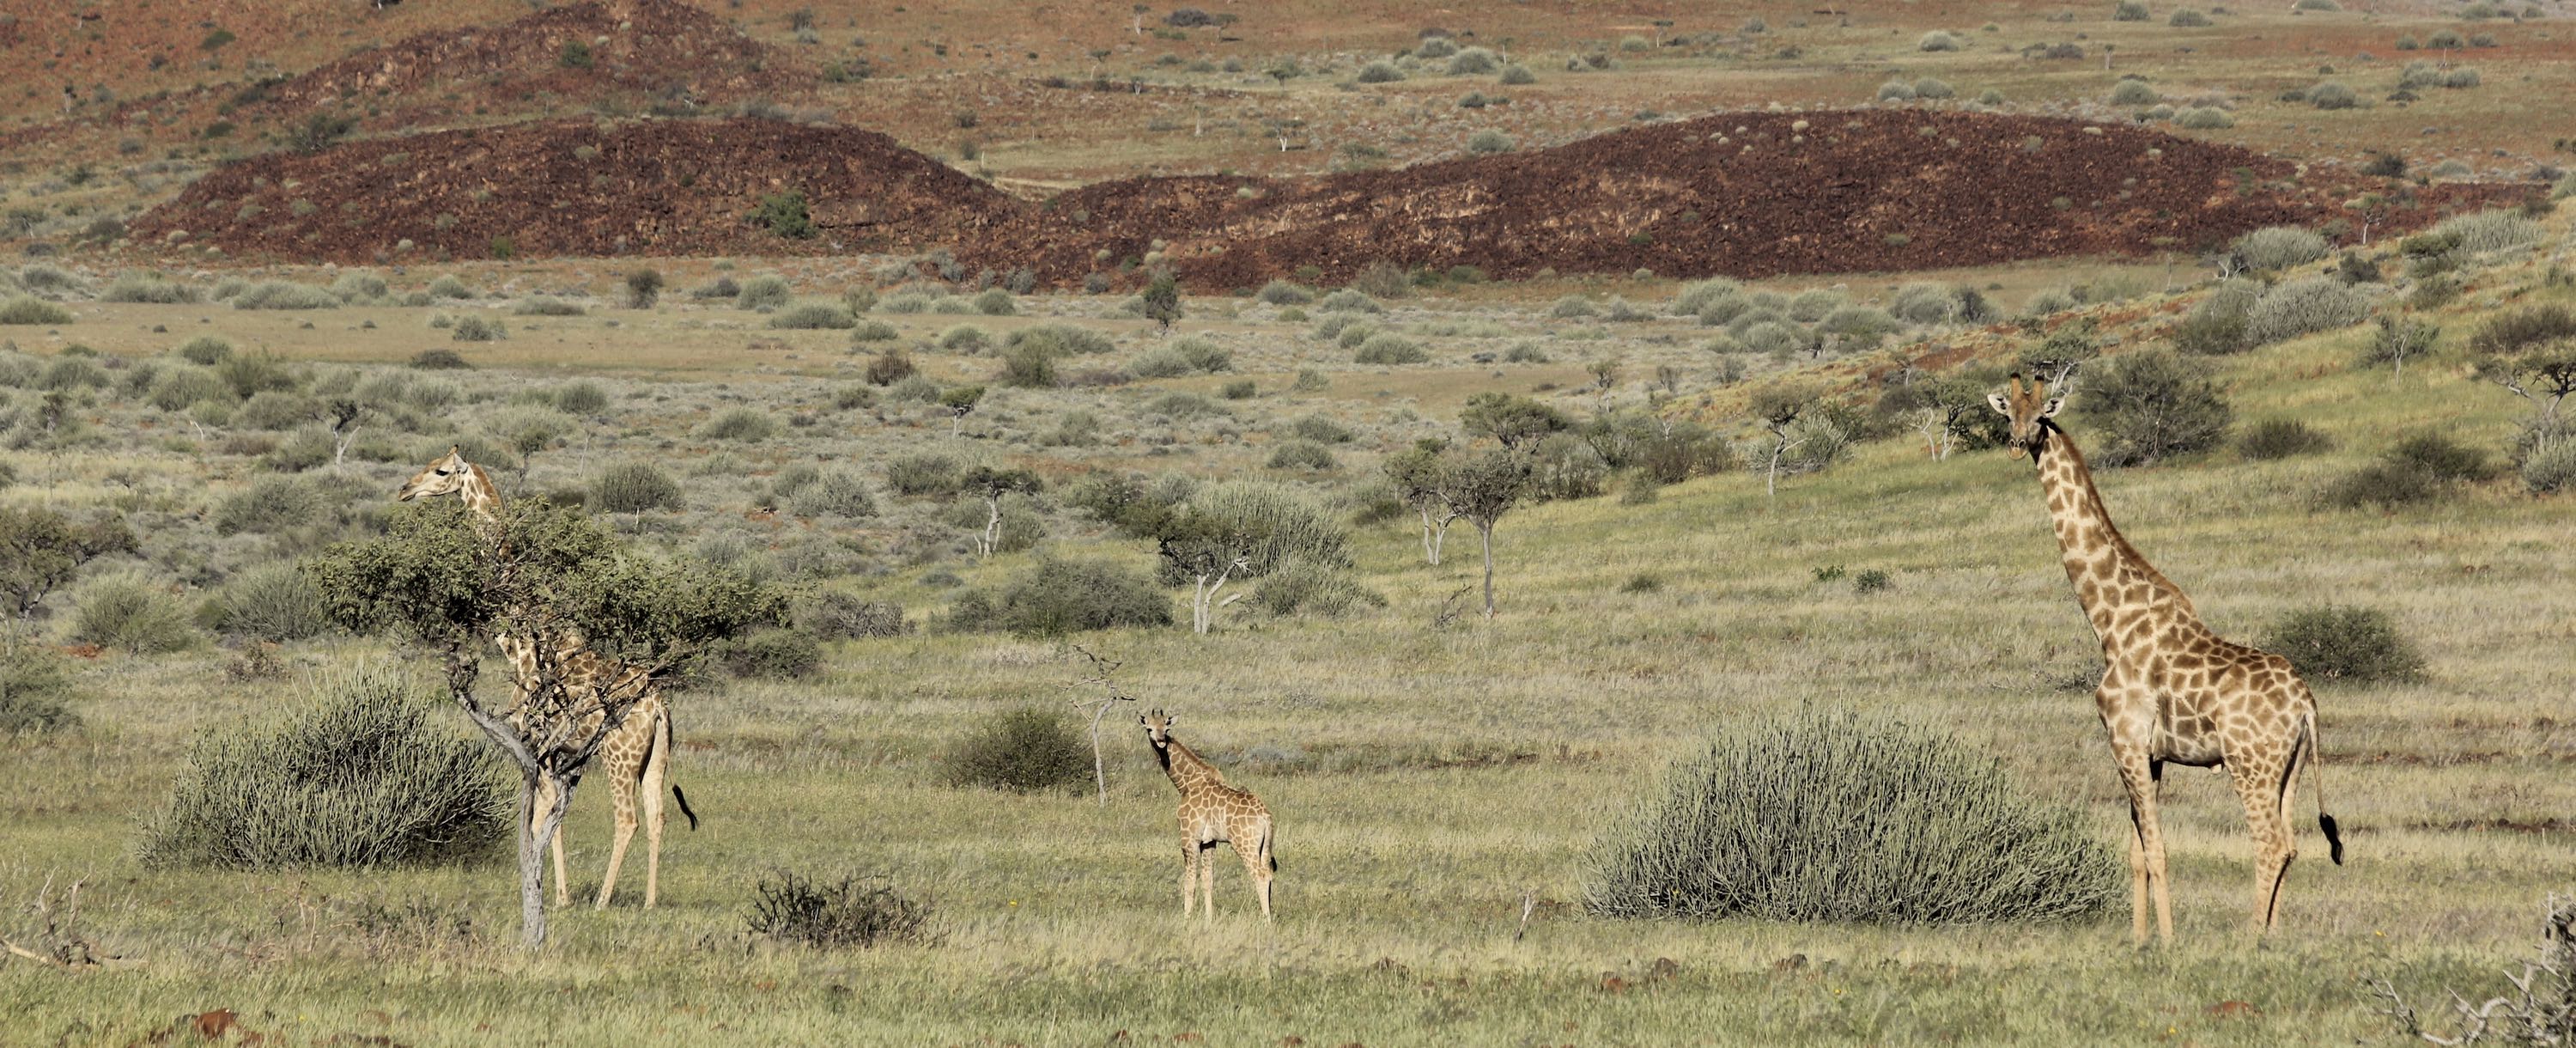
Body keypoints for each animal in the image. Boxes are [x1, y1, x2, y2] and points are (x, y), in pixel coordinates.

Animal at [396, 447, 696, 909]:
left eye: (441, 471)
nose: (405, 490)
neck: (519, 645)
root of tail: (659, 706)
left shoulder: (531, 743)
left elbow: (538, 819)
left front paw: (549, 894)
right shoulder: (552, 755)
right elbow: (552, 817)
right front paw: (558, 895)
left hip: (619, 756)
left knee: (627, 819)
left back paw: (603, 900)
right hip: (655, 759)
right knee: (657, 814)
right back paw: (648, 901)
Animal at [1139, 709, 1275, 924]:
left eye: (1166, 728)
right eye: (1149, 728)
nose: (1161, 741)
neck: (1186, 784)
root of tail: (1266, 817)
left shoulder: (1189, 837)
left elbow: (1189, 882)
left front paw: (1186, 920)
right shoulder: (1209, 841)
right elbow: (1207, 880)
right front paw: (1209, 919)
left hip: (1244, 844)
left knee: (1260, 876)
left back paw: (1266, 921)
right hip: (1263, 847)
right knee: (1268, 873)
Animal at [1987, 375, 2343, 944]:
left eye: (2043, 415)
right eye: (2008, 414)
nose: (2019, 443)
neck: (2110, 622)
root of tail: (2306, 704)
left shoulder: (2125, 740)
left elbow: (2156, 851)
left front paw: (2169, 942)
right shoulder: (2150, 755)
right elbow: (2136, 853)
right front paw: (2138, 941)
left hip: (2250, 765)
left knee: (2270, 844)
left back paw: (2248, 939)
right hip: (2288, 768)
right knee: (2291, 844)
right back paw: (2270, 936)